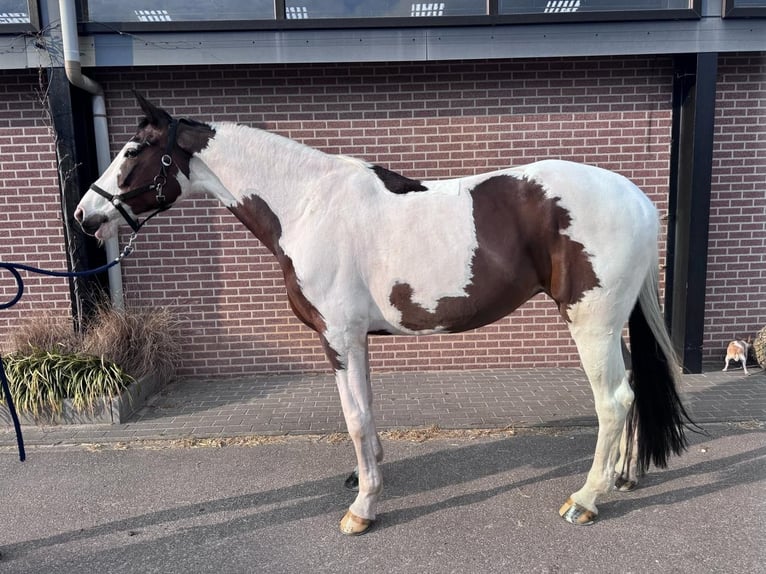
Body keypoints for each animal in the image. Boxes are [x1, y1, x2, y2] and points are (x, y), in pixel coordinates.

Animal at [75, 94, 693, 534]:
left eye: (133, 151)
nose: (84, 216)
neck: (307, 204)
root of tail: (637, 198)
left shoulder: (339, 338)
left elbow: (354, 418)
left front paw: (362, 508)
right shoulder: (357, 340)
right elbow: (367, 414)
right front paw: (370, 482)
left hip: (591, 323)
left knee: (612, 401)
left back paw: (585, 500)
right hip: (608, 323)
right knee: (630, 391)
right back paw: (622, 478)